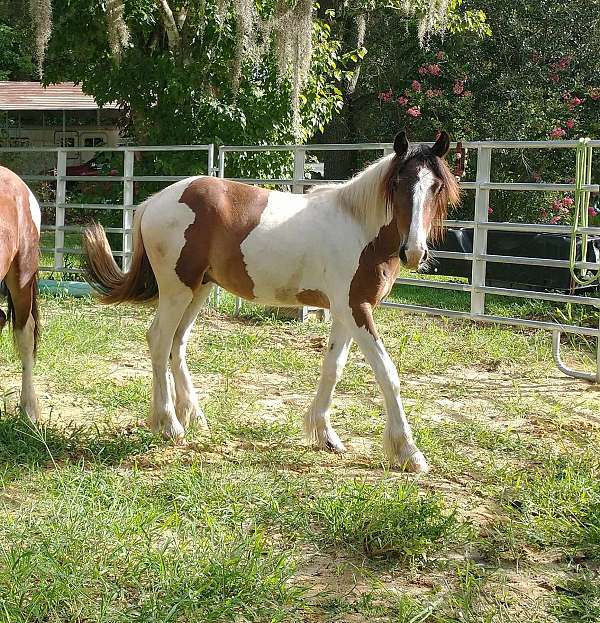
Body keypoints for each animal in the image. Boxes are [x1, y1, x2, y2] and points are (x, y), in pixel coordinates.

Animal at [84, 132, 460, 472]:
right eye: (398, 183)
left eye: (436, 187)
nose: (414, 252)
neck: (359, 230)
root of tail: (155, 201)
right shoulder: (355, 309)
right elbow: (387, 373)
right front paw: (409, 452)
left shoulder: (344, 312)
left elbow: (333, 367)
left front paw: (325, 435)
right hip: (177, 290)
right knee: (160, 341)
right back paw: (170, 426)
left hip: (198, 290)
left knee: (178, 343)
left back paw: (193, 416)